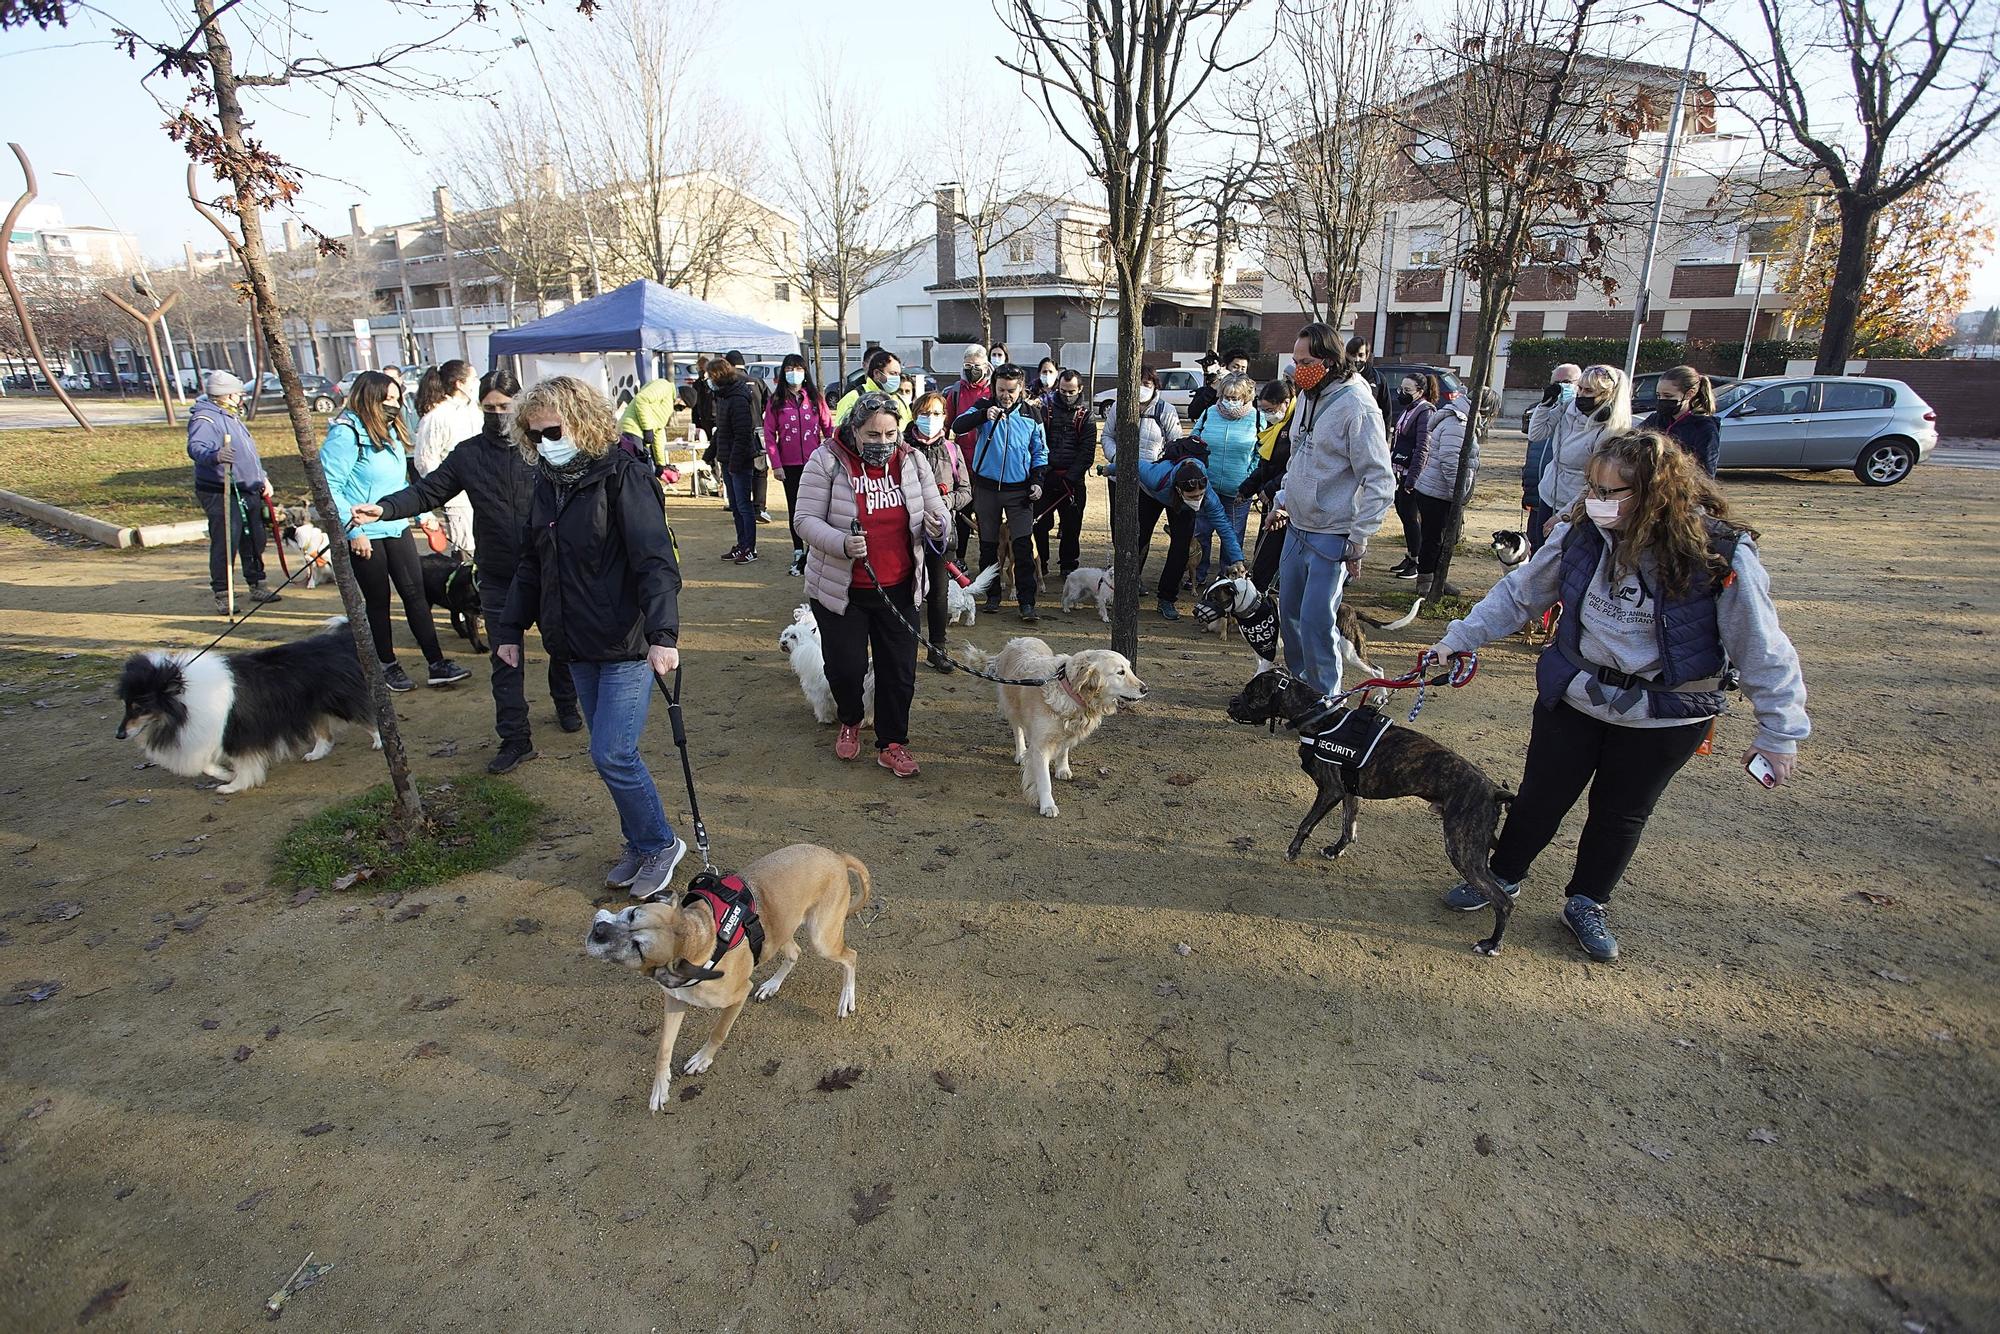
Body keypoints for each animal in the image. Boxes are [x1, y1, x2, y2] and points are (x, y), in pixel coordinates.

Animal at [116, 620, 378, 792]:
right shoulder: (209, 735)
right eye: (126, 704)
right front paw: (226, 774)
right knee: (324, 734)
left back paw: (379, 742)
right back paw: (315, 754)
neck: (184, 701)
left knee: (369, 717)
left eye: (140, 706)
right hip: (310, 707)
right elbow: (207, 765)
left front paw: (234, 785)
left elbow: (242, 764)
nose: (119, 735)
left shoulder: (238, 735)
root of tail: (337, 641)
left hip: (341, 702)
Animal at [576, 844, 864, 1120]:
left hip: (822, 938)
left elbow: (718, 1032)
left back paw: (846, 1000)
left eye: (639, 948)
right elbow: (663, 1049)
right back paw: (772, 986)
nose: (598, 930)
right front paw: (660, 1088)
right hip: (782, 929)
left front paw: (702, 1059)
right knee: (794, 952)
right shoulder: (675, 1000)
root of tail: (837, 857)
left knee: (850, 956)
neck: (700, 943)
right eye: (633, 912)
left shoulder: (738, 995)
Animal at [960, 640, 1152, 820]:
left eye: (1129, 668)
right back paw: (1021, 752)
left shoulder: (1066, 730)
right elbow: (1044, 781)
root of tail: (1015, 641)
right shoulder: (1041, 747)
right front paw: (1047, 805)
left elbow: (1063, 750)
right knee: (1018, 730)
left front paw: (1062, 768)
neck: (1069, 692)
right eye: (1120, 672)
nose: (1145, 689)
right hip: (1012, 706)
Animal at [1224, 672, 1520, 956]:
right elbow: (1348, 825)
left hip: (1460, 848)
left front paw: (1292, 851)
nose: (1230, 703)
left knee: (1503, 901)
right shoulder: (1348, 791)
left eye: (1251, 693)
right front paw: (1336, 850)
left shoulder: (1330, 790)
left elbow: (1306, 824)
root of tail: (1493, 790)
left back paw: (1491, 944)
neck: (1319, 719)